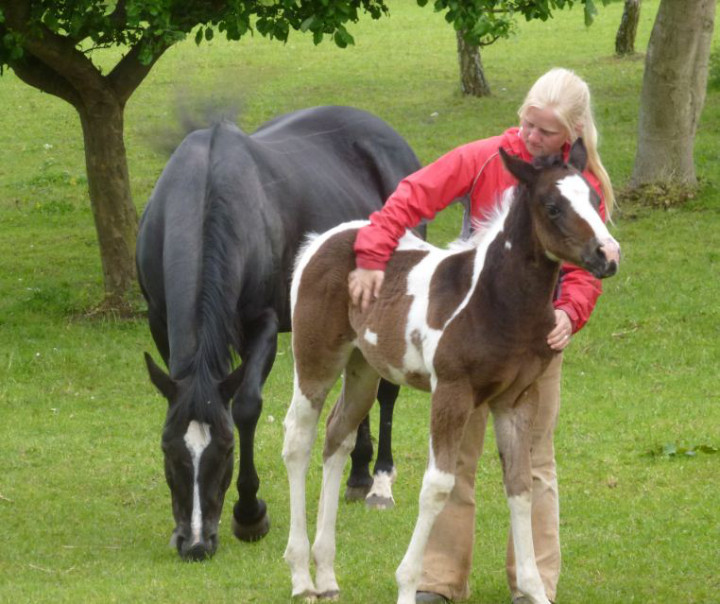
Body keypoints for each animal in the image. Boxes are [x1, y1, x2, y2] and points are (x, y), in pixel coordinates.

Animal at [136, 105, 422, 560]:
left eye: (227, 449)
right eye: (167, 448)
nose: (195, 543)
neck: (208, 193)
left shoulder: (264, 325)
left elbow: (247, 406)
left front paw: (250, 513)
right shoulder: (160, 323)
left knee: (387, 392)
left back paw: (379, 482)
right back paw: (358, 473)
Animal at [282, 142, 620, 604]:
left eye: (594, 198)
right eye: (552, 207)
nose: (609, 255)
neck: (496, 301)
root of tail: (319, 242)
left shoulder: (516, 401)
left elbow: (521, 486)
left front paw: (533, 588)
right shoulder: (452, 393)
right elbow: (439, 486)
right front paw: (408, 584)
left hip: (363, 368)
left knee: (337, 437)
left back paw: (328, 576)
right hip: (315, 360)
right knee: (299, 440)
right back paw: (301, 576)